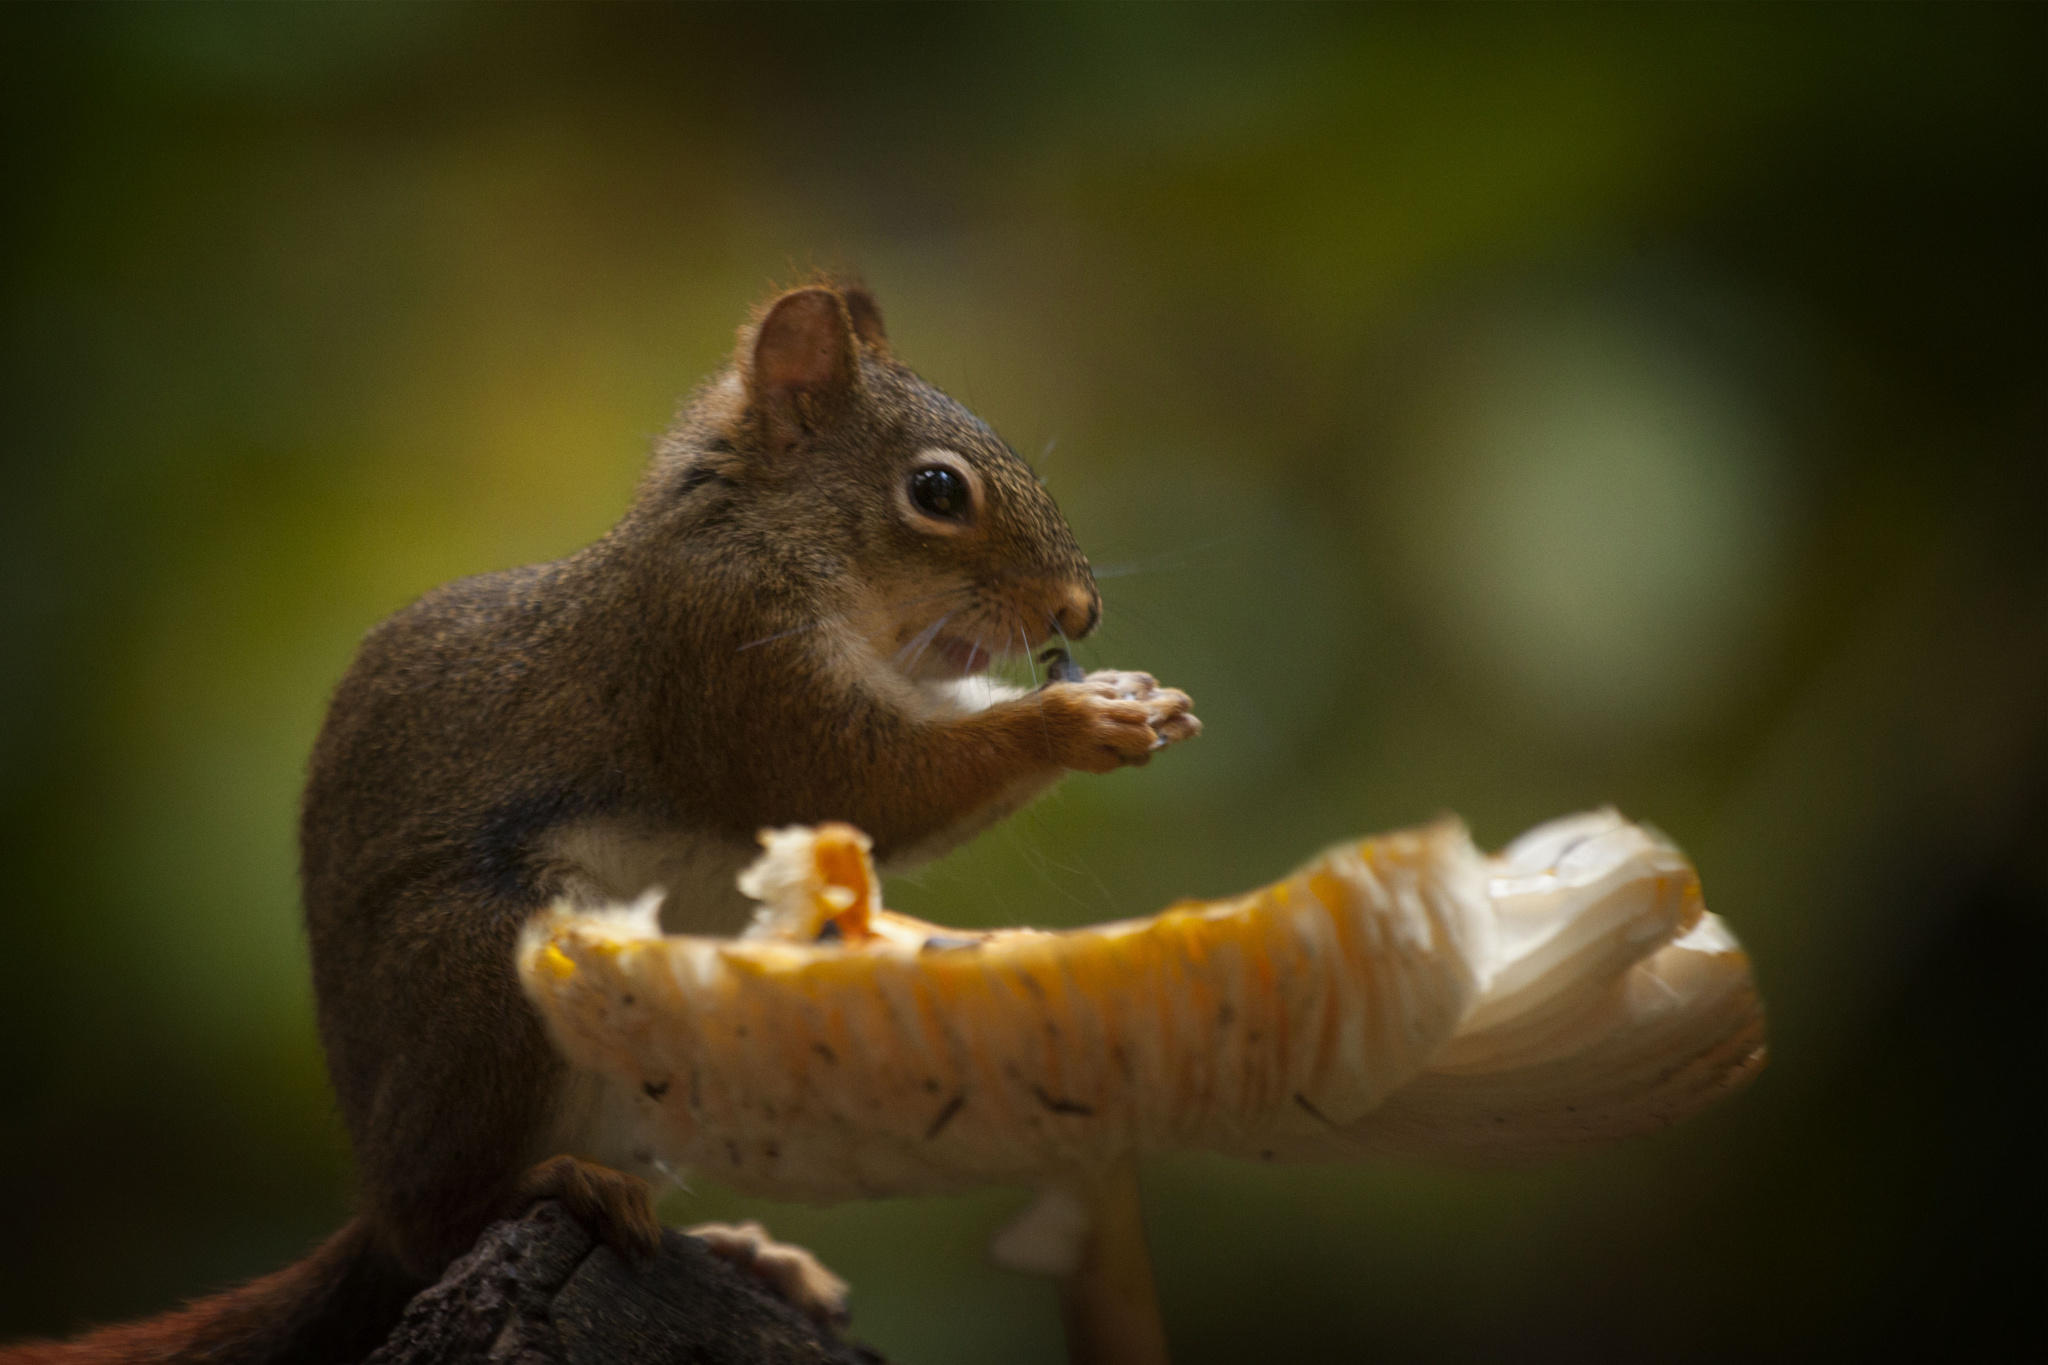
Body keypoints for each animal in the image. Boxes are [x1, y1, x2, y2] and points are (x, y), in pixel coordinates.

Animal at [4, 282, 1196, 1358]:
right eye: (937, 490)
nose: (1079, 611)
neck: (771, 530)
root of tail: (374, 1188)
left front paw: (1134, 694)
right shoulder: (721, 658)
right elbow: (863, 781)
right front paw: (1078, 718)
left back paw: (745, 1251)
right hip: (487, 972)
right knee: (439, 1221)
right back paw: (558, 1181)